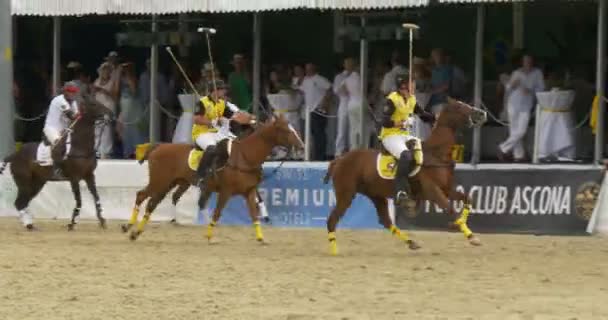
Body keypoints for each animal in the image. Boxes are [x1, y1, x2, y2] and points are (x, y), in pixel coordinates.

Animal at [0, 97, 113, 230]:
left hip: (38, 182)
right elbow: (79, 200)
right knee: (19, 202)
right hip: (24, 181)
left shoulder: (89, 175)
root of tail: (14, 155)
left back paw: (30, 223)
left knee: (23, 202)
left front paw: (102, 220)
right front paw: (72, 223)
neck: (80, 146)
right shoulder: (74, 178)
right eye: (94, 104)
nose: (111, 114)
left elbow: (96, 197)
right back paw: (28, 224)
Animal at [126, 114, 304, 241]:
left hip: (171, 183)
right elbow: (217, 213)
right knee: (142, 196)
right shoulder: (226, 191)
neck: (245, 156)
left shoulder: (249, 191)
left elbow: (254, 213)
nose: (302, 146)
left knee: (153, 203)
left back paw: (136, 232)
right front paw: (209, 236)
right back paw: (129, 226)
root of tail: (158, 146)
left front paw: (261, 237)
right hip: (159, 181)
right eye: (285, 129)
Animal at [326, 98, 486, 255]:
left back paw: (411, 242)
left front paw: (463, 228)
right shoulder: (432, 191)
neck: (436, 153)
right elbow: (450, 209)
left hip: (376, 195)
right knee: (332, 219)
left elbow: (467, 199)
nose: (482, 113)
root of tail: (339, 159)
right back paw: (334, 251)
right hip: (346, 194)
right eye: (459, 106)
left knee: (385, 221)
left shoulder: (446, 189)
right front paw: (470, 236)